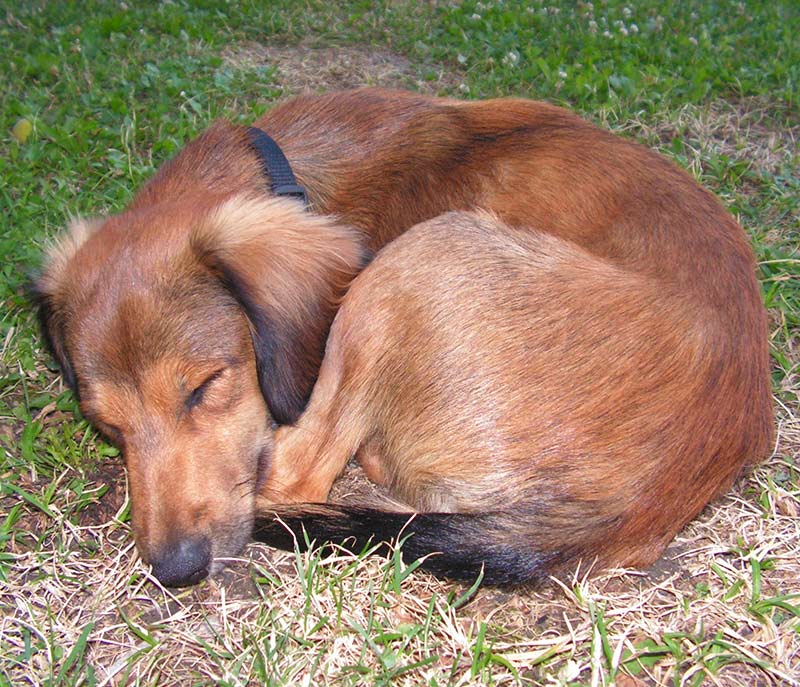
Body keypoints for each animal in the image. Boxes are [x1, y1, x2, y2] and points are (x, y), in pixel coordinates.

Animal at [34, 88, 772, 588]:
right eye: (105, 425)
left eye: (205, 387)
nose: (178, 569)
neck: (285, 175)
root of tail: (641, 502)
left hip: (416, 260)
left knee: (300, 471)